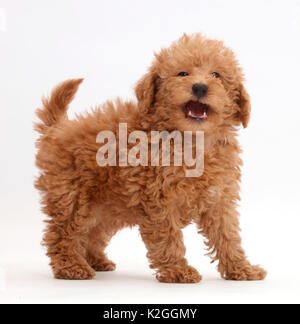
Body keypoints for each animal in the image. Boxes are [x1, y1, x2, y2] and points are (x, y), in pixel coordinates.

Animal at [35, 32, 268, 280]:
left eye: (216, 75)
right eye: (182, 73)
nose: (200, 87)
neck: (191, 141)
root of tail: (59, 128)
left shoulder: (219, 198)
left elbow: (228, 236)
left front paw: (241, 268)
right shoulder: (158, 198)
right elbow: (168, 236)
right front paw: (178, 270)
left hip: (106, 207)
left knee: (92, 232)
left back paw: (96, 260)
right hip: (72, 196)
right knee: (62, 233)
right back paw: (71, 266)